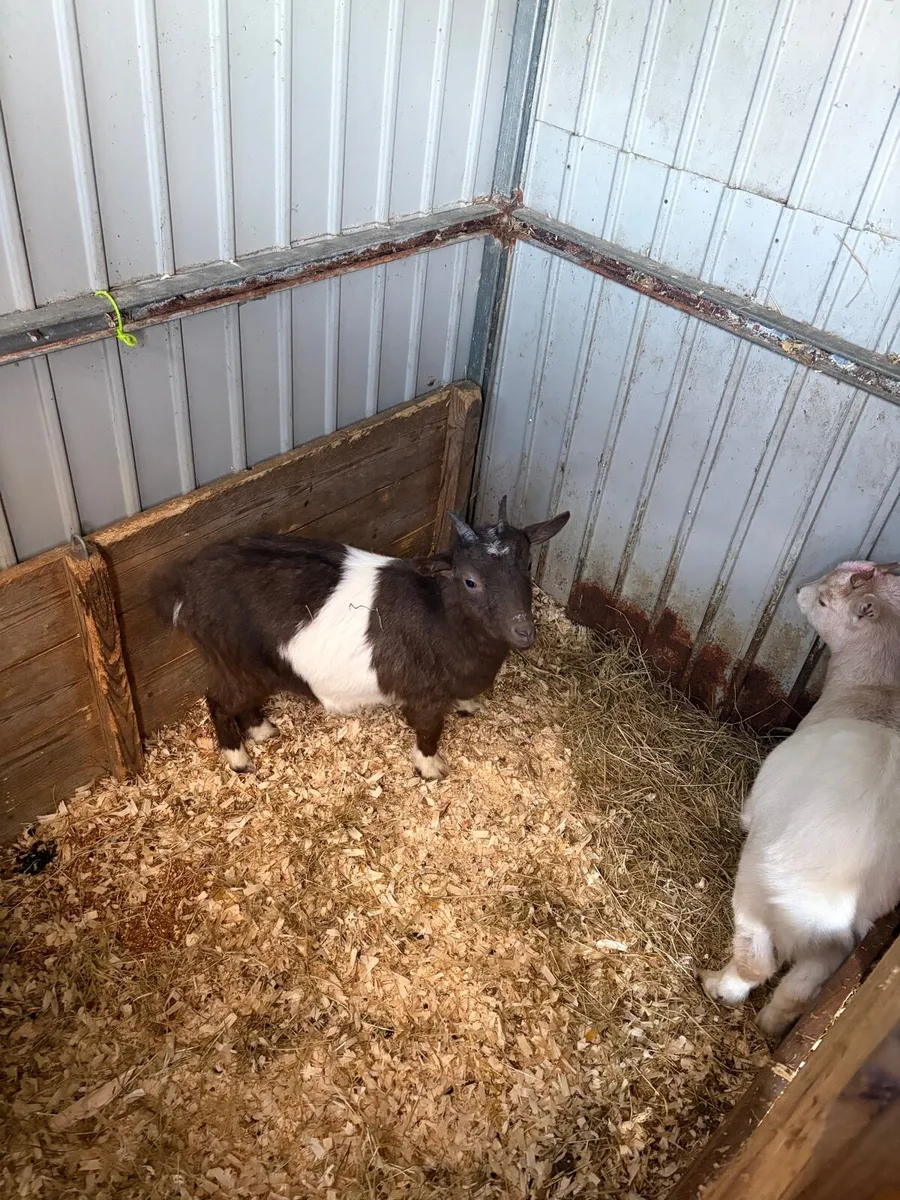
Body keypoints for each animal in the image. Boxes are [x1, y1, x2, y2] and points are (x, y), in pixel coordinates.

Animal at [152, 498, 569, 779]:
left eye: (527, 563)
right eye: (470, 580)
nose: (523, 631)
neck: (443, 617)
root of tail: (186, 589)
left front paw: (467, 706)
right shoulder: (425, 695)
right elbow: (428, 729)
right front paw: (430, 767)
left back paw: (262, 730)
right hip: (237, 662)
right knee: (220, 702)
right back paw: (239, 758)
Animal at [700, 559, 900, 1038]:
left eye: (826, 602)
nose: (799, 591)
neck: (876, 696)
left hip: (758, 891)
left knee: (756, 963)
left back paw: (718, 985)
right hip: (839, 947)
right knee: (798, 988)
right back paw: (771, 1025)